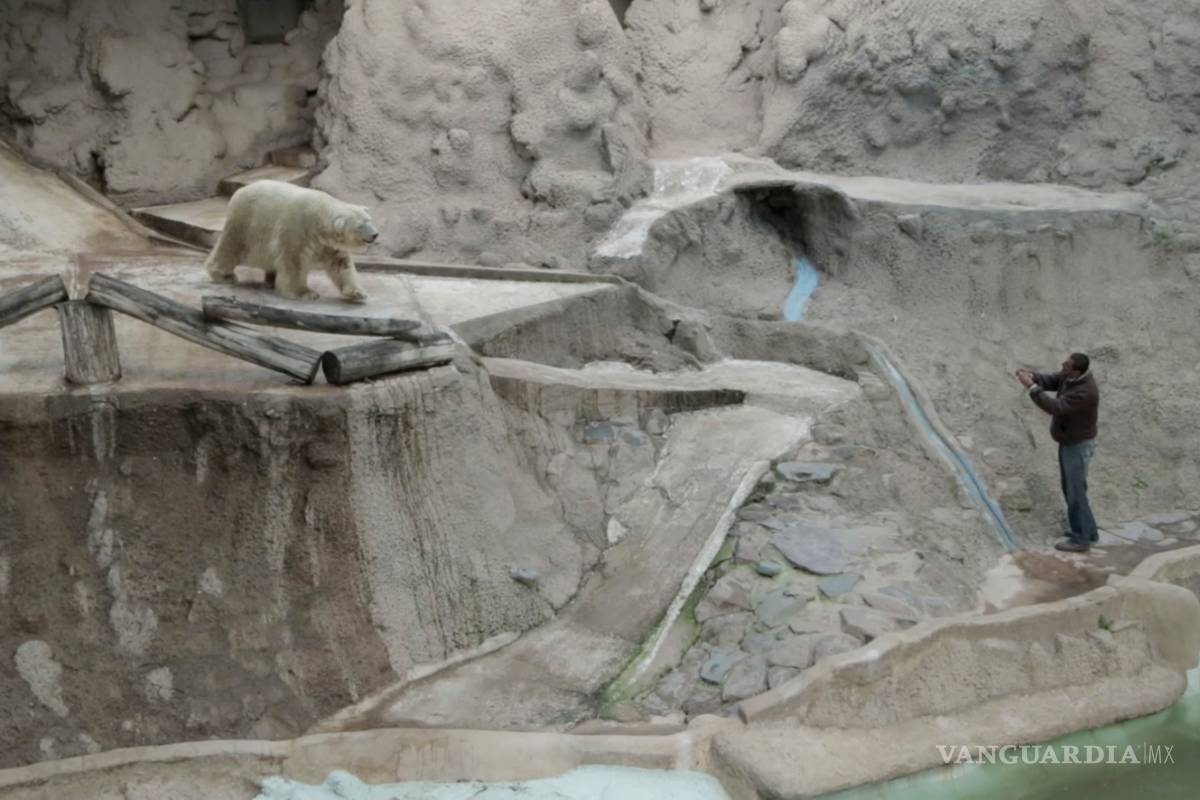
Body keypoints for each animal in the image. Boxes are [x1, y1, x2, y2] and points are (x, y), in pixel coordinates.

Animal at [204, 180, 378, 303]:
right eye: (360, 225)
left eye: (369, 219)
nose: (375, 234)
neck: (318, 218)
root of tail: (238, 191)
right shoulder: (296, 229)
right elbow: (293, 260)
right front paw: (305, 293)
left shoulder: (328, 244)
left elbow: (341, 264)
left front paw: (358, 293)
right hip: (244, 224)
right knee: (230, 248)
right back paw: (224, 276)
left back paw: (271, 280)